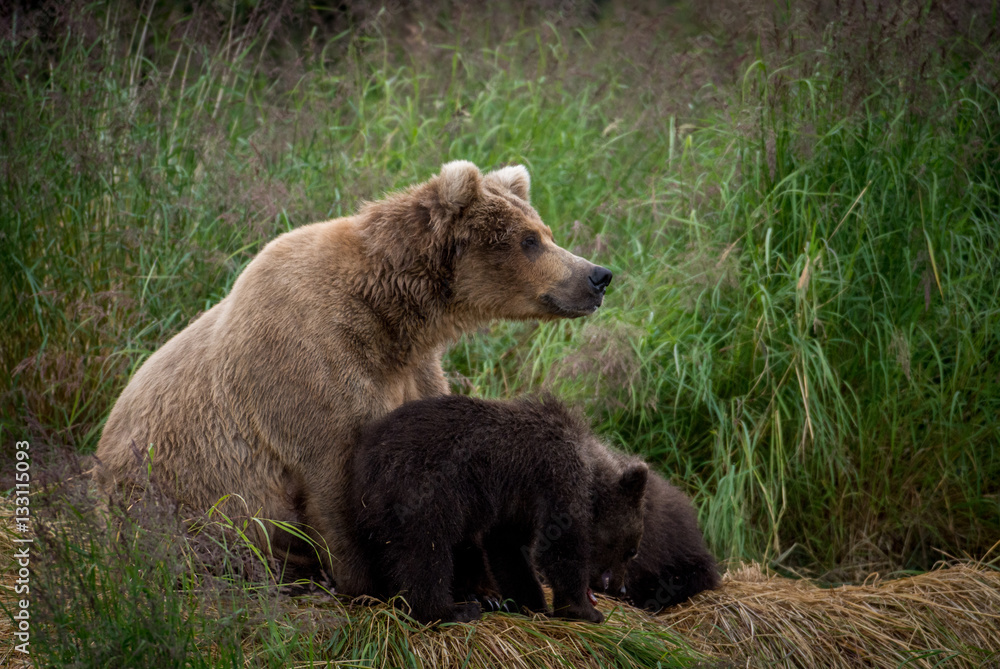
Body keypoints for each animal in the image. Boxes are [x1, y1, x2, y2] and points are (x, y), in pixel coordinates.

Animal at [94, 161, 613, 592]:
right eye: (529, 240)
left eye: (545, 231)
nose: (598, 275)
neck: (392, 316)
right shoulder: (309, 365)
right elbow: (336, 484)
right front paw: (369, 584)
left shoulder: (413, 371)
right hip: (168, 500)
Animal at [347, 394, 648, 624]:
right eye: (631, 550)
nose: (619, 588)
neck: (590, 468)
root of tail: (367, 454)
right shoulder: (557, 474)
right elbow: (560, 547)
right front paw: (584, 611)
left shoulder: (518, 504)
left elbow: (507, 549)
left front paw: (533, 603)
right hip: (424, 488)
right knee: (426, 552)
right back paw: (451, 611)